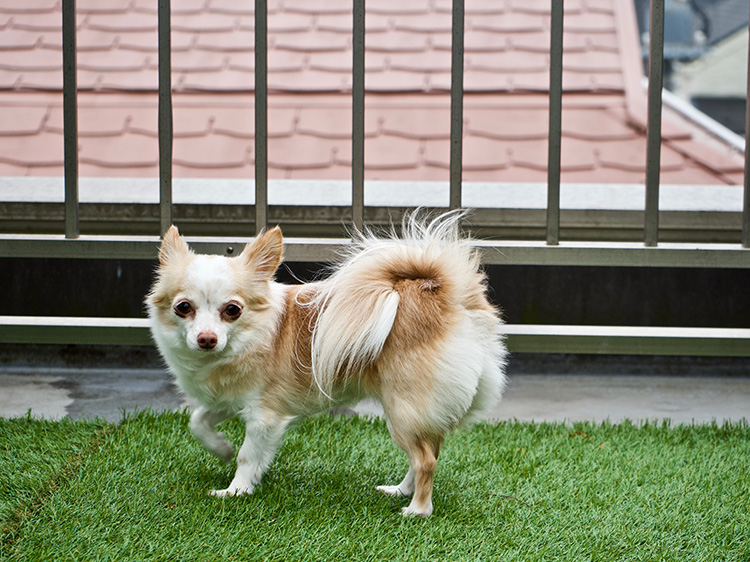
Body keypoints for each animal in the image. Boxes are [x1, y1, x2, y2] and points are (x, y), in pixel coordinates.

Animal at [145, 211, 512, 516]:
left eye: (232, 310)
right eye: (183, 307)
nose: (207, 339)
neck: (245, 341)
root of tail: (445, 296)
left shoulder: (265, 417)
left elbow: (248, 455)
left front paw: (236, 490)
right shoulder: (228, 399)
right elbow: (197, 420)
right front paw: (221, 448)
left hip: (403, 409)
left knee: (425, 460)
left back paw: (417, 510)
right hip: (419, 412)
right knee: (429, 451)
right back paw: (399, 491)